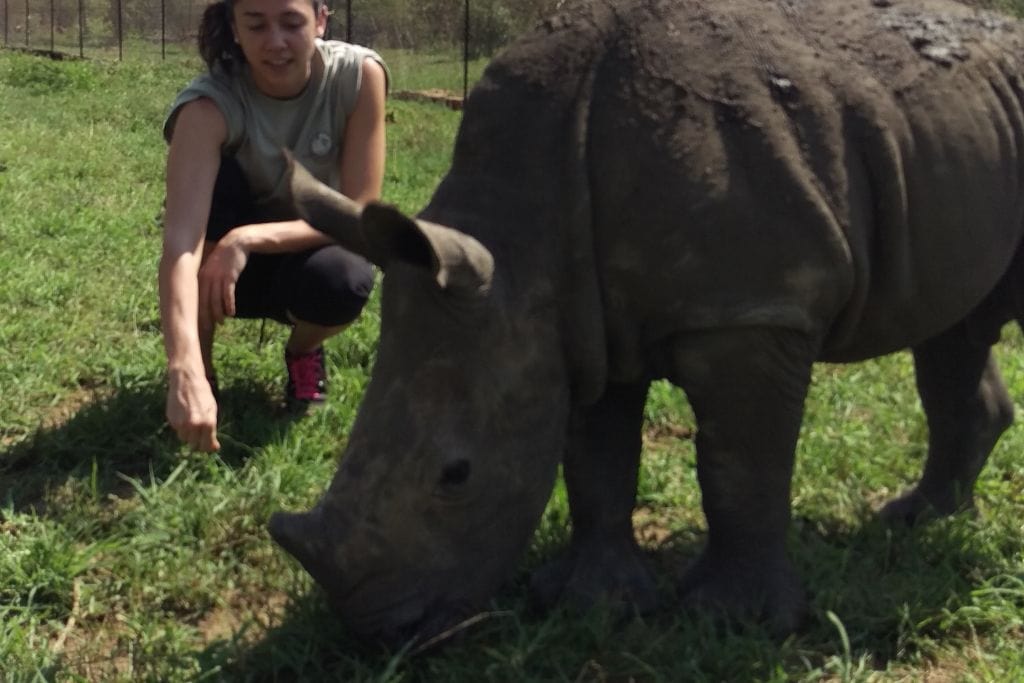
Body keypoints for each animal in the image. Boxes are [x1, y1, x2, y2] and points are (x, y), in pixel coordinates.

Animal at [269, 0, 1024, 640]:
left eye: (457, 475)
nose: (376, 628)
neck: (523, 237)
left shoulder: (750, 309)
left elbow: (738, 462)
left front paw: (735, 621)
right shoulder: (578, 320)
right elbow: (596, 460)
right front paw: (590, 603)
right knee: (953, 332)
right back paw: (915, 521)